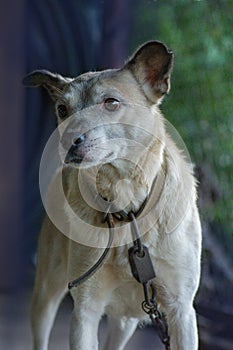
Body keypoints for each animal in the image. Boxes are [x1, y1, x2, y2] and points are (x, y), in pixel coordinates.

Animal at [24, 41, 202, 350]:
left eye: (112, 103)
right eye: (62, 109)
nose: (68, 139)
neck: (127, 208)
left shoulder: (181, 310)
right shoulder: (85, 310)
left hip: (126, 321)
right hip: (46, 292)